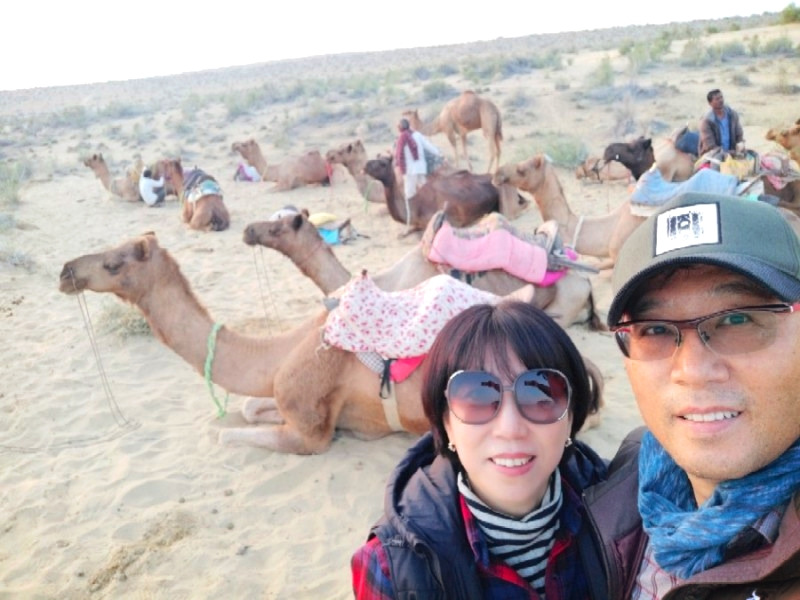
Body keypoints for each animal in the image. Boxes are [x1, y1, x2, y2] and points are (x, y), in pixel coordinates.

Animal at [58, 233, 603, 454]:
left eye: (115, 263)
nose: (66, 271)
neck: (277, 352)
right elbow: (251, 408)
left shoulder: (310, 433)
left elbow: (226, 435)